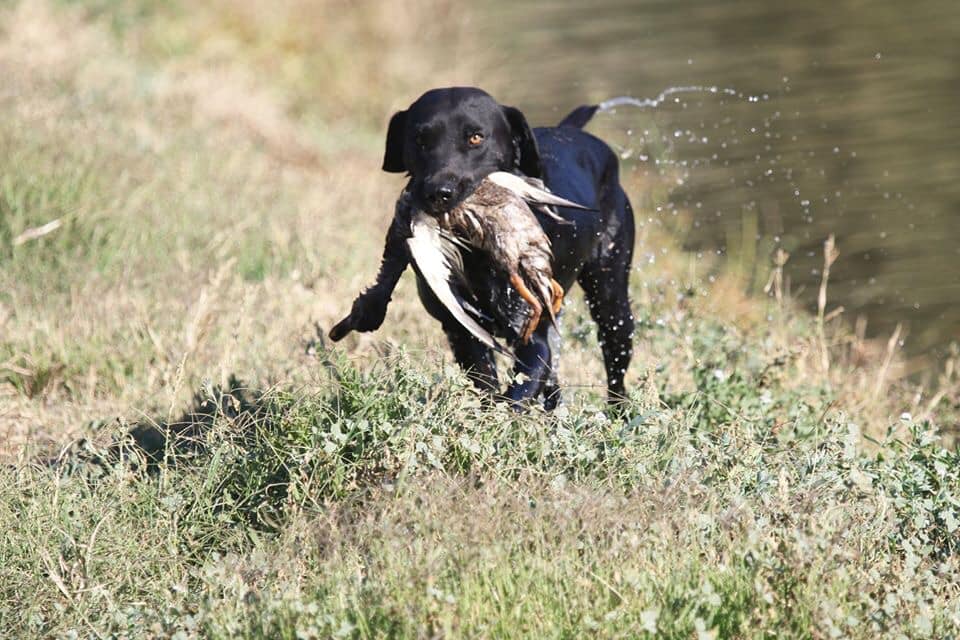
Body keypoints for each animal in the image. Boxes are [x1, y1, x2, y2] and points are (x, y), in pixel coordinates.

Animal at [332, 86, 636, 404]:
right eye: (420, 139)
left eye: (476, 137)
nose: (438, 193)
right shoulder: (462, 332)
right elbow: (487, 383)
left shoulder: (533, 337)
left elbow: (518, 391)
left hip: (611, 300)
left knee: (616, 367)